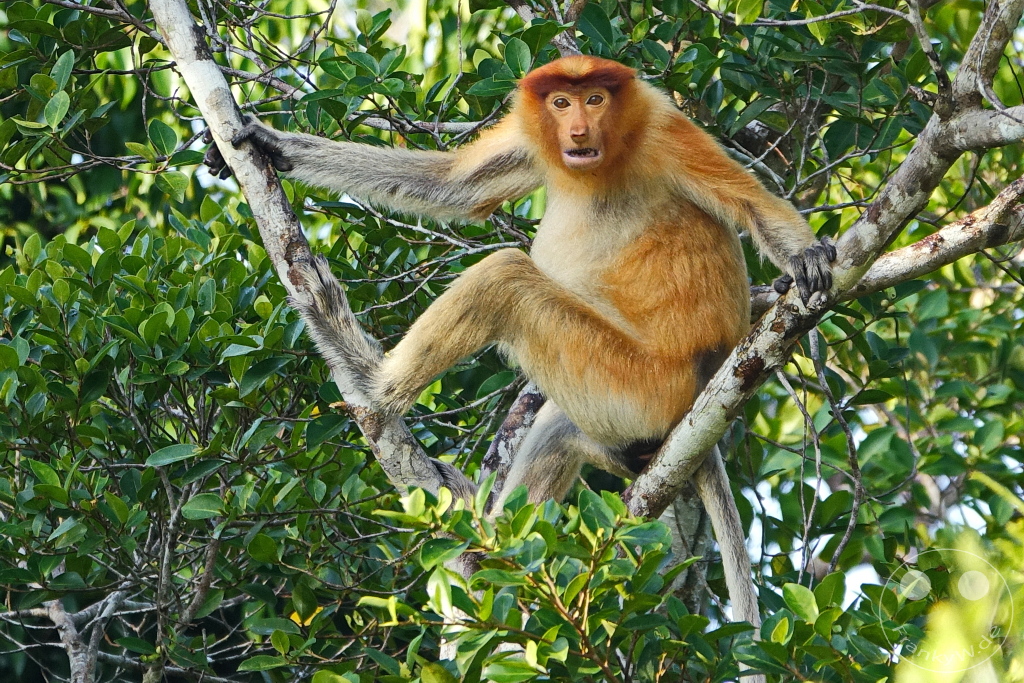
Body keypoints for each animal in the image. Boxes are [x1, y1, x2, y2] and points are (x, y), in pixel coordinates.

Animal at [205, 55, 836, 633]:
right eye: (560, 102)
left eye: (595, 99)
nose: (577, 130)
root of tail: (705, 388)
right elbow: (454, 187)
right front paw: (266, 142)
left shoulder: (662, 127)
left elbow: (753, 204)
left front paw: (806, 260)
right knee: (558, 433)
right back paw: (497, 551)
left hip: (640, 386)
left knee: (505, 279)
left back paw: (368, 380)